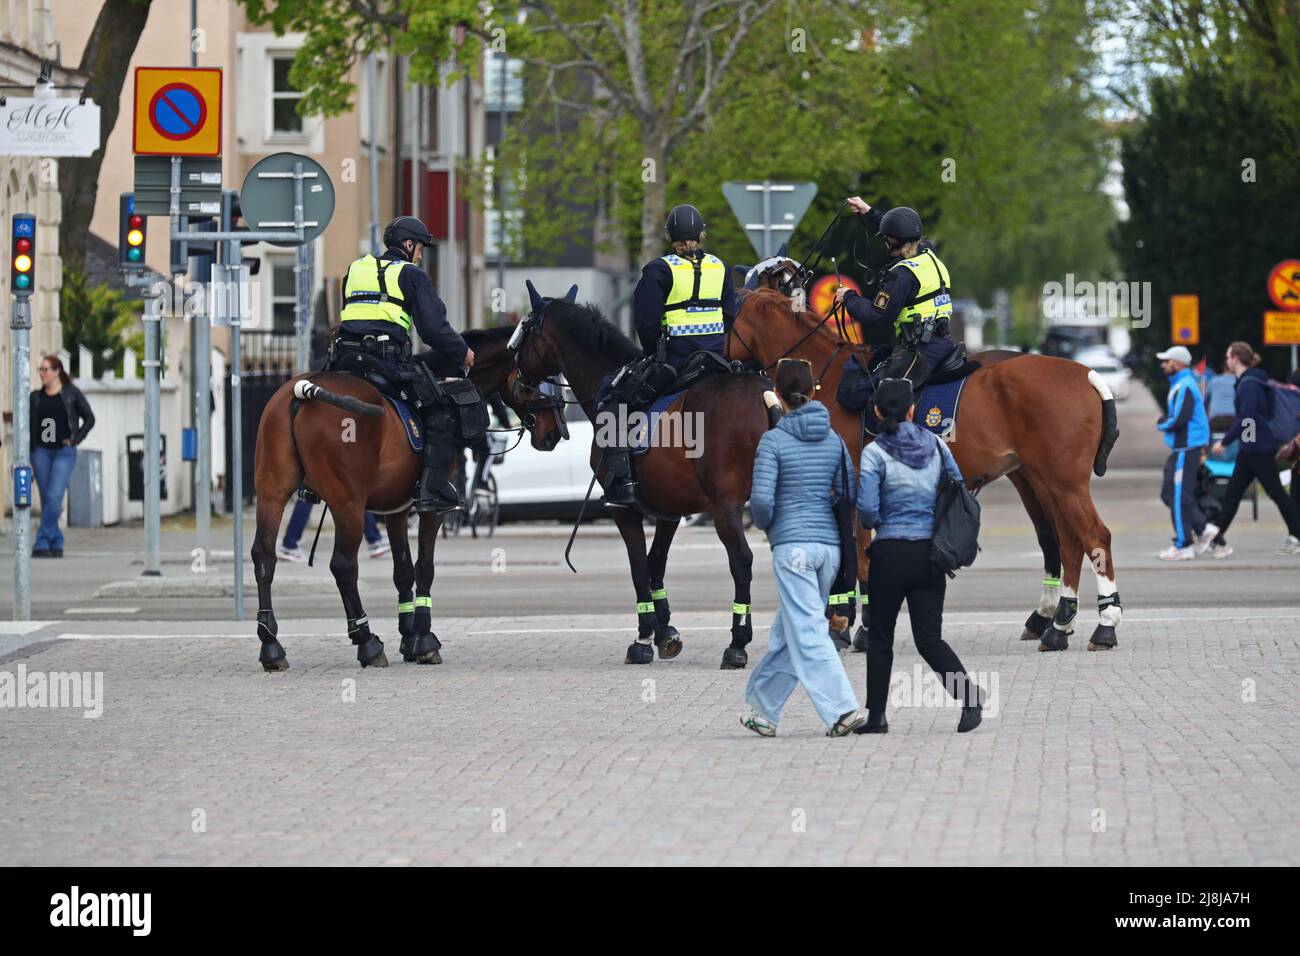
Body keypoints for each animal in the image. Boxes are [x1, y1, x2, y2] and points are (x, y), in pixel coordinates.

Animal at [248, 325, 564, 671]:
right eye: (544, 377)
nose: (553, 434)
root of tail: (302, 393)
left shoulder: (395, 510)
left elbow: (402, 570)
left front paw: (408, 636)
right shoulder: (431, 510)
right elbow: (425, 567)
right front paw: (423, 639)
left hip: (272, 494)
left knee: (264, 557)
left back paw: (271, 644)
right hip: (348, 506)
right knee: (343, 565)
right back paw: (367, 642)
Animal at [506, 283, 769, 671]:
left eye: (522, 333)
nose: (515, 383)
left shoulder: (623, 508)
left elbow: (638, 568)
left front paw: (644, 637)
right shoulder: (670, 510)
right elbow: (655, 564)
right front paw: (665, 631)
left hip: (727, 506)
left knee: (742, 561)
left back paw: (738, 642)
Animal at [728, 287, 1123, 655]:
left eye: (728, 317)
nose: (719, 356)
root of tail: (1084, 373)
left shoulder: (854, 490)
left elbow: (862, 559)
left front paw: (859, 627)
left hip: (1061, 482)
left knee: (1095, 537)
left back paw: (1103, 624)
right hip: (1048, 481)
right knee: (1069, 542)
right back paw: (1059, 625)